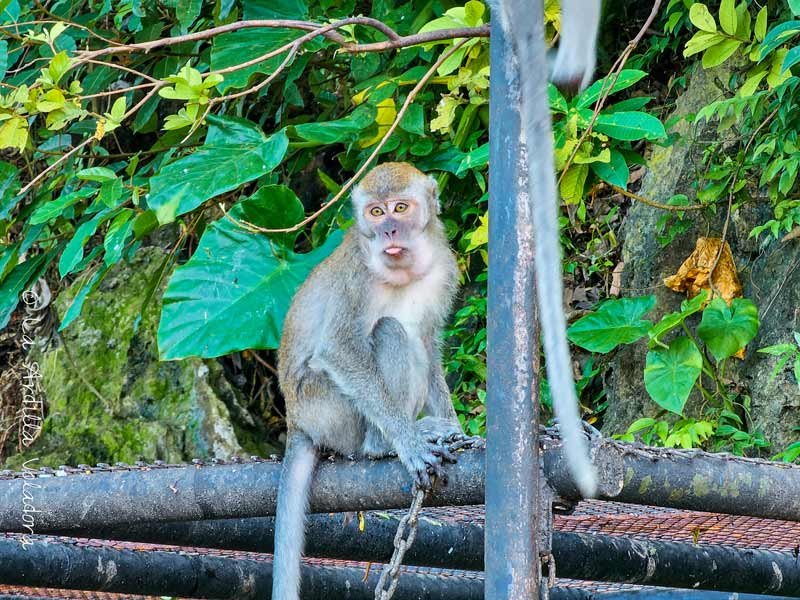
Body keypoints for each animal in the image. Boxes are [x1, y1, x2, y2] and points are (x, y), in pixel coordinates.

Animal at [274, 163, 462, 600]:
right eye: (376, 213)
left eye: (399, 208)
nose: (389, 230)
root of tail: (296, 420)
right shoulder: (355, 276)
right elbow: (340, 348)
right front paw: (408, 443)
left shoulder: (444, 267)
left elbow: (429, 346)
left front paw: (458, 428)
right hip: (328, 410)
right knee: (390, 331)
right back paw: (383, 444)